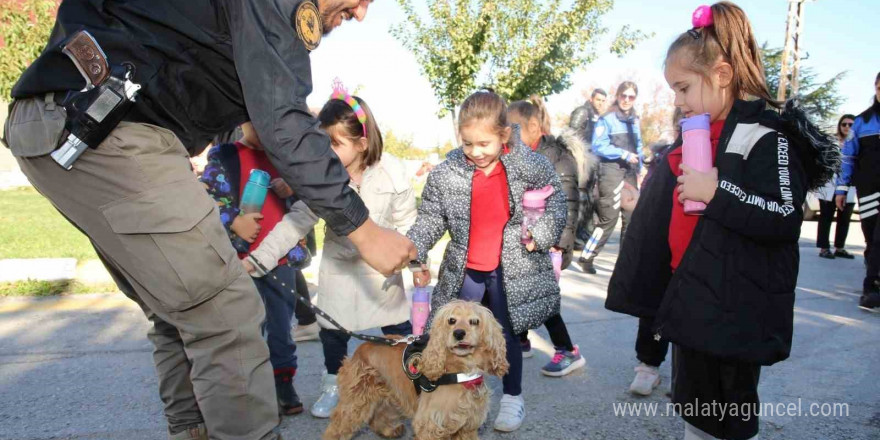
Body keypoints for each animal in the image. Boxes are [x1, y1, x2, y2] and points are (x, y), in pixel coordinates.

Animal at [324, 300, 508, 440]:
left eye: (474, 321)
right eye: (451, 320)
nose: (459, 333)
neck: (459, 369)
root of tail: (360, 348)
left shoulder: (468, 425)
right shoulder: (430, 424)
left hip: (390, 392)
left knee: (377, 415)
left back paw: (390, 430)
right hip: (356, 400)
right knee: (337, 426)